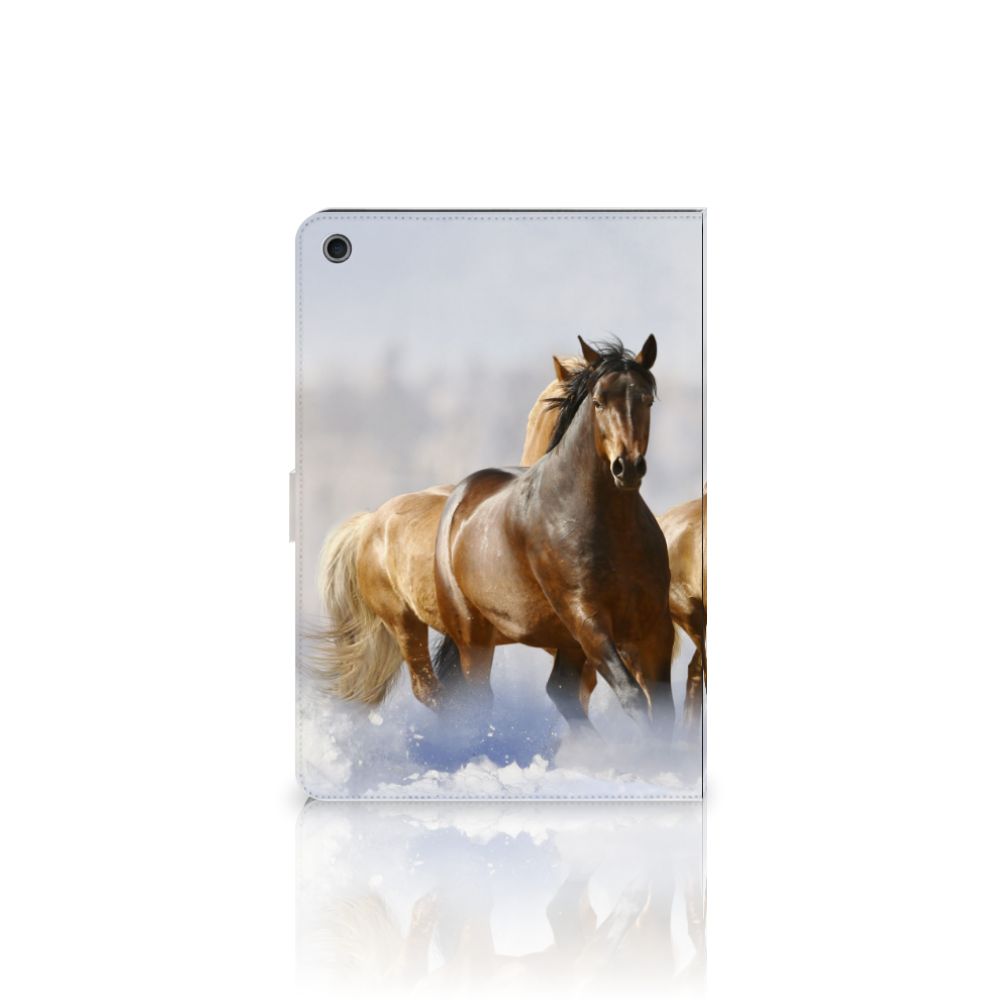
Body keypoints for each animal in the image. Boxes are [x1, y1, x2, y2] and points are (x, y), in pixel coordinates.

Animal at [432, 336, 675, 730]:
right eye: (598, 401)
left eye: (646, 400)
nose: (627, 467)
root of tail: (461, 496)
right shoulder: (587, 619)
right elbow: (633, 697)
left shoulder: (654, 625)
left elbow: (664, 709)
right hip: (473, 635)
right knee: (479, 698)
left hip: (565, 642)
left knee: (561, 690)